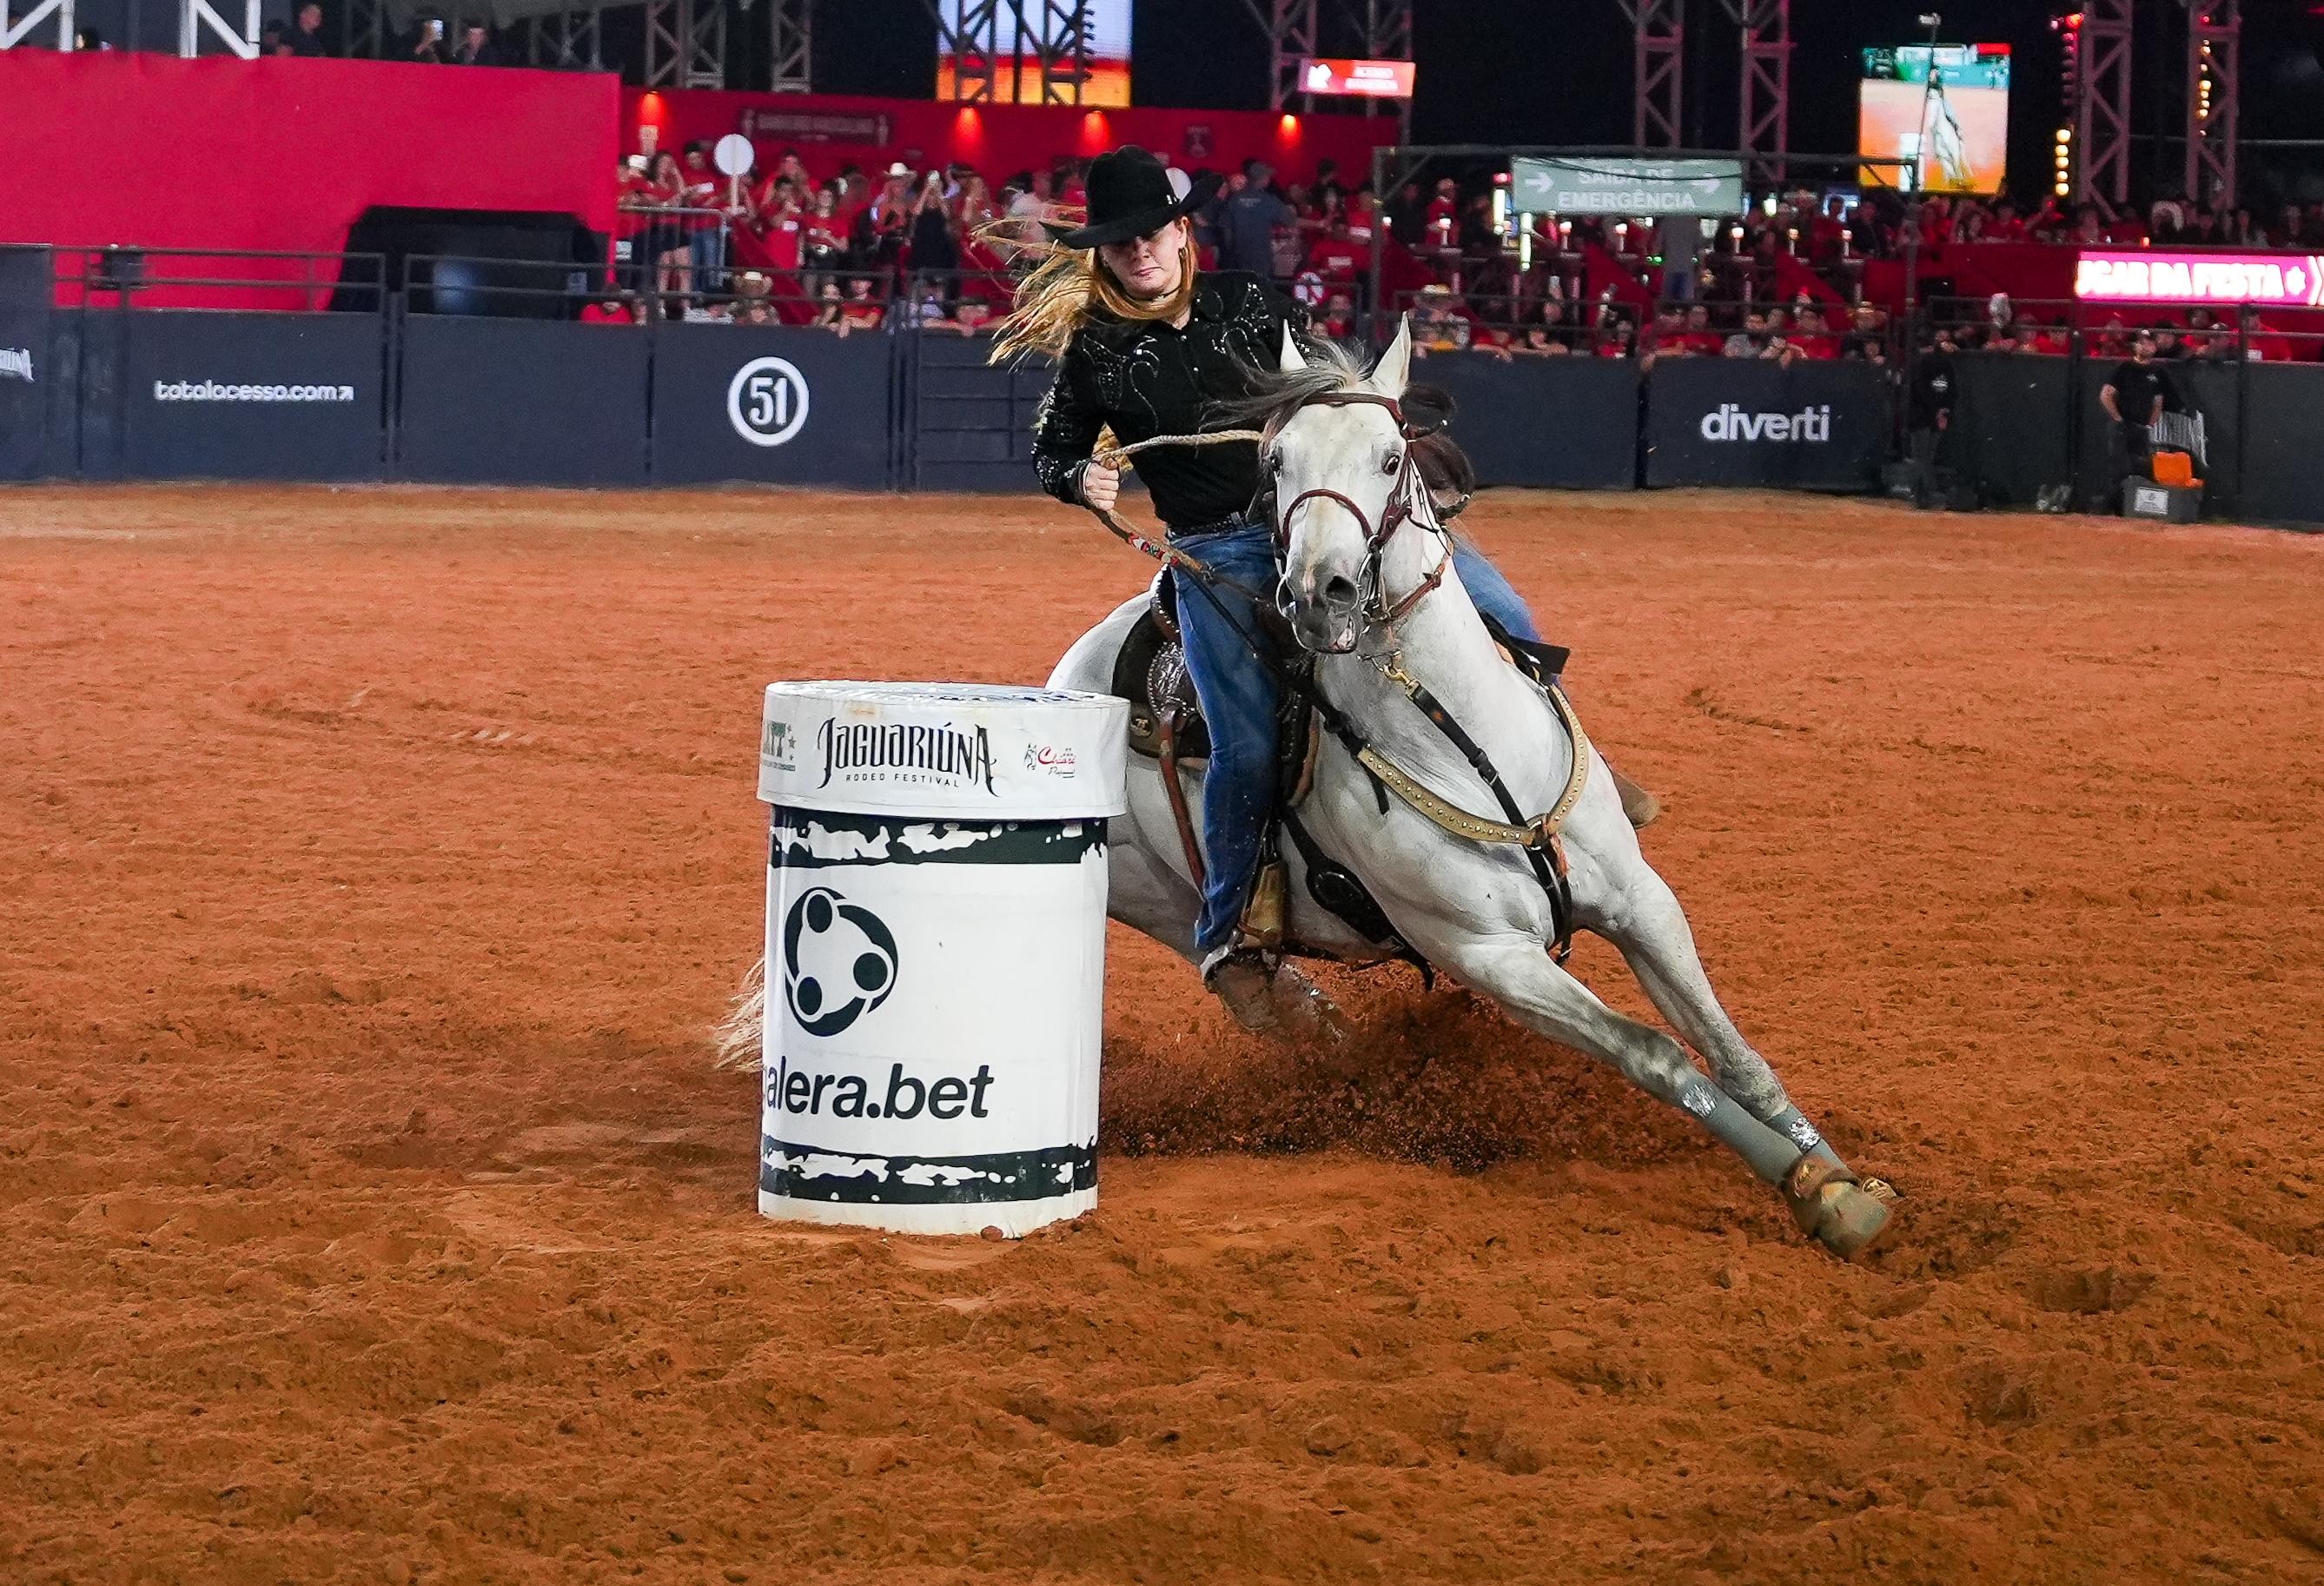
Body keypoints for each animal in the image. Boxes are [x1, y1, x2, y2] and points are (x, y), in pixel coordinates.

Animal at [715, 318, 1896, 1256]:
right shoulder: (1488, 957)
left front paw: (1838, 1173)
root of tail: (1074, 668)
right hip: (1153, 892)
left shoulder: (1642, 901)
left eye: (1390, 454)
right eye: (1273, 459)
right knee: (1255, 989)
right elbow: (1657, 1054)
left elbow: (1734, 1053)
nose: (1318, 590)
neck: (1464, 741)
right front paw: (1819, 1199)